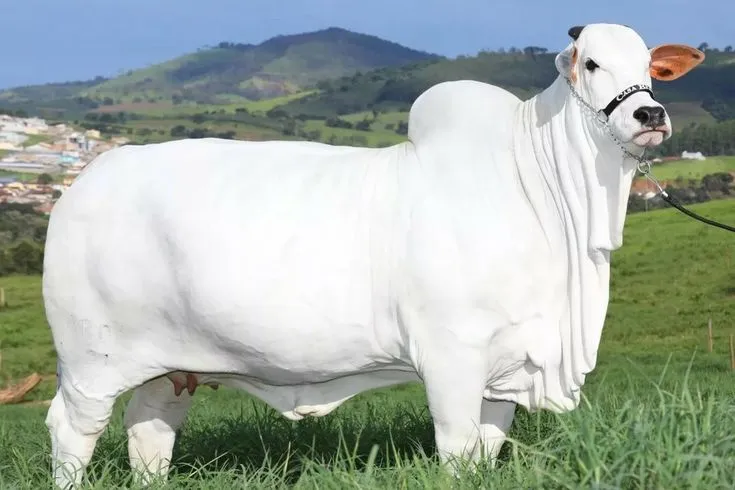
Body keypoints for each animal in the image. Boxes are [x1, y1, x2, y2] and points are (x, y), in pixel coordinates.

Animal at [43, 23, 704, 488]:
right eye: (591, 62)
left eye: (651, 69)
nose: (650, 114)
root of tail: (85, 181)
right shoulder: (452, 357)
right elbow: (458, 450)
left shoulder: (506, 368)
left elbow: (486, 451)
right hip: (91, 361)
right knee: (71, 431)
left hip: (172, 366)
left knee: (149, 430)